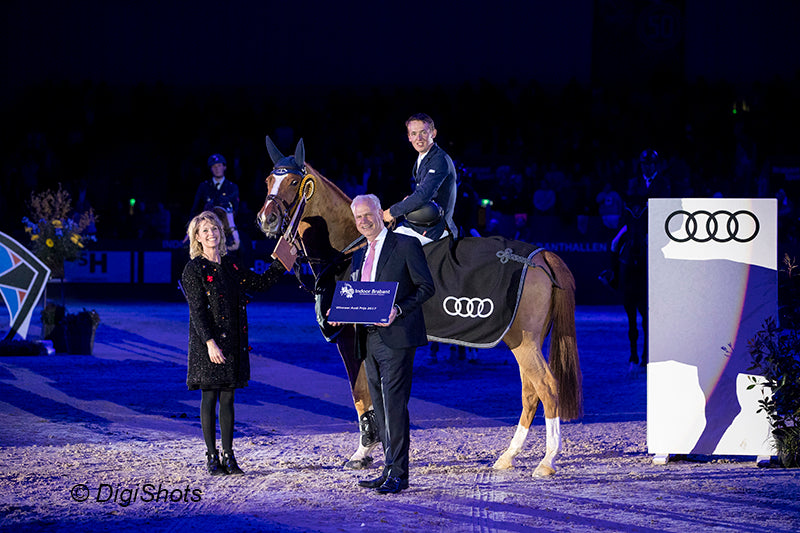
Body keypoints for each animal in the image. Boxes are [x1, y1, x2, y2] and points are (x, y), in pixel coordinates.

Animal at [256, 138, 580, 478]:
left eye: (294, 182)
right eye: (267, 180)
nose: (266, 219)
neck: (354, 246)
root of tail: (540, 255)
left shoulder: (350, 338)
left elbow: (360, 395)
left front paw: (363, 451)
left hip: (525, 342)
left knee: (547, 387)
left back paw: (547, 460)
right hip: (520, 341)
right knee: (531, 392)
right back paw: (509, 456)